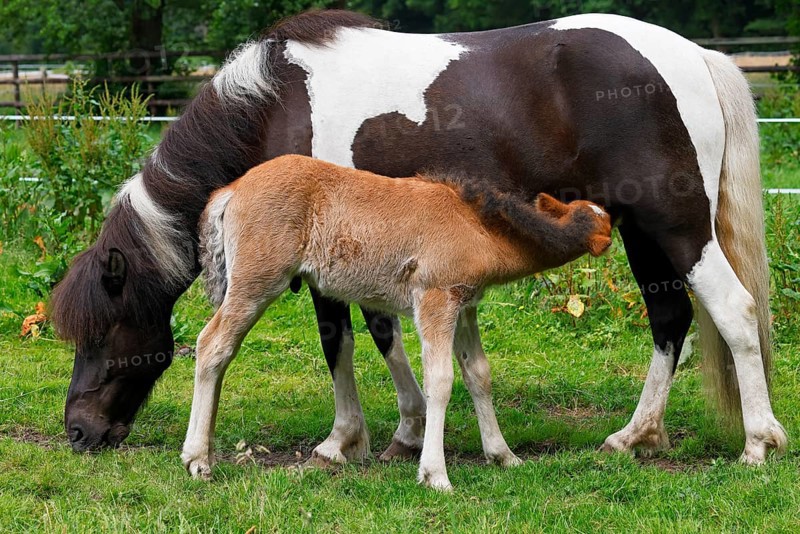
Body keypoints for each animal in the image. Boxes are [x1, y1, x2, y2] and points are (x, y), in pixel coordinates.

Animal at [181, 154, 613, 489]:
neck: (477, 225)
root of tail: (232, 190)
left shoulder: (464, 306)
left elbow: (478, 374)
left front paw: (503, 455)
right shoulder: (436, 299)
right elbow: (440, 381)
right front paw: (435, 475)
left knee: (223, 350)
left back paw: (208, 451)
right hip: (257, 281)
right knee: (212, 344)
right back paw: (196, 458)